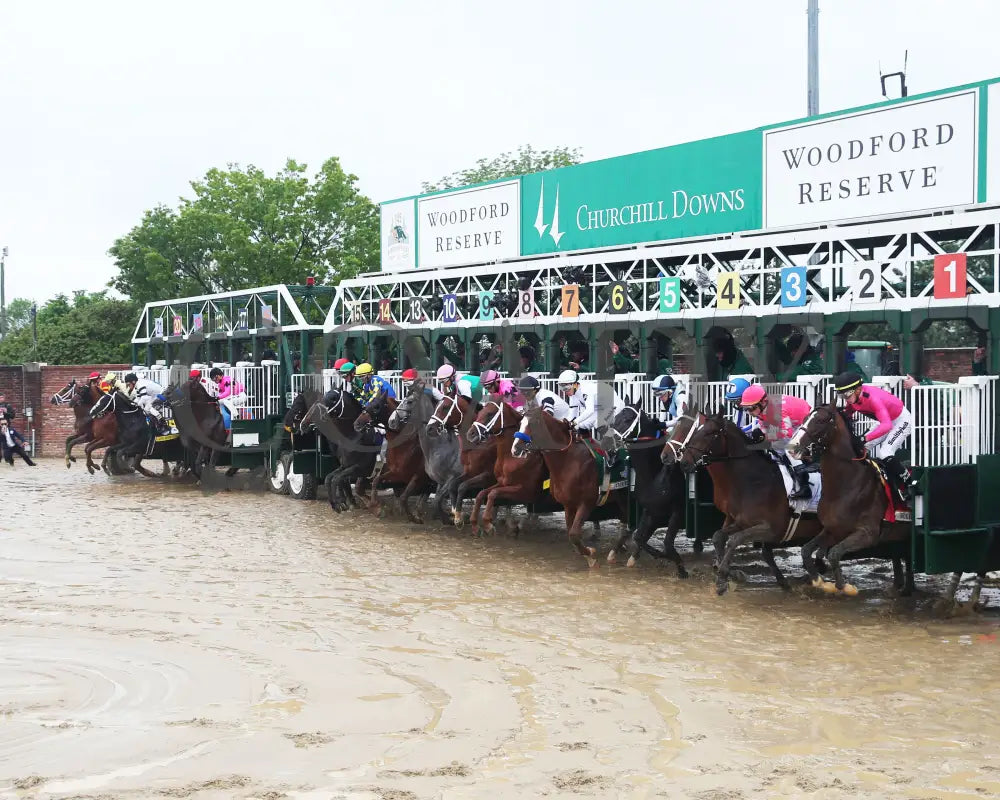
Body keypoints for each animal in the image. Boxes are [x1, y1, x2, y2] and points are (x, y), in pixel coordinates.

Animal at [512, 404, 628, 564]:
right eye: (520, 423)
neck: (569, 460)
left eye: (533, 423)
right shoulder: (568, 504)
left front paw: (590, 554)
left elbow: (574, 534)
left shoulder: (587, 502)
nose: (515, 449)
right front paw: (586, 553)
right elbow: (571, 532)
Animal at [608, 406, 688, 576]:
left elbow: (667, 544)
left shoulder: (678, 509)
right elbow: (639, 536)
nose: (611, 444)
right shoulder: (650, 510)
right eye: (616, 417)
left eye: (628, 419)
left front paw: (680, 567)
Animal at [788, 404, 916, 596]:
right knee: (900, 556)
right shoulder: (832, 529)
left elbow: (834, 553)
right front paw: (819, 580)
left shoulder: (867, 533)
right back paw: (899, 587)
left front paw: (845, 587)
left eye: (821, 420)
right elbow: (806, 550)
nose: (792, 447)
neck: (846, 486)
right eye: (804, 419)